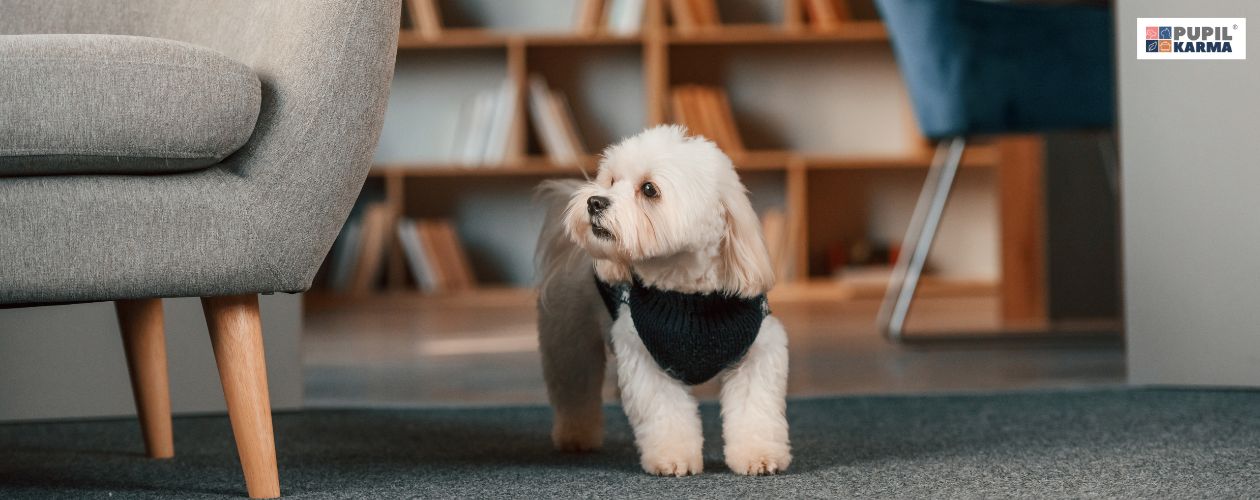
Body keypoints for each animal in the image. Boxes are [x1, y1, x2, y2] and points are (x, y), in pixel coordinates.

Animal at [536, 124, 791, 476]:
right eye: (611, 181)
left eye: (648, 189)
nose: (594, 201)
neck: (690, 296)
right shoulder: (646, 357)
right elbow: (666, 414)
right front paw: (673, 458)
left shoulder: (757, 354)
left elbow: (755, 410)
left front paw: (759, 455)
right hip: (569, 343)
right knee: (575, 392)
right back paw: (575, 436)